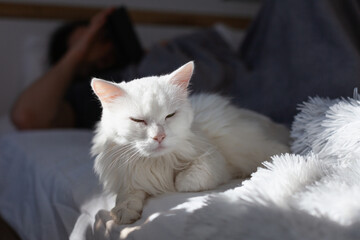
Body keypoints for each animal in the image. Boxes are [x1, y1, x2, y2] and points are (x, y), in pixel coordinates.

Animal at [90, 61, 290, 224]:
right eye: (138, 120)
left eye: (170, 115)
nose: (159, 137)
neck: (157, 163)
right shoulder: (129, 175)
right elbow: (128, 194)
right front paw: (122, 212)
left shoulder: (215, 160)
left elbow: (188, 180)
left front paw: (177, 182)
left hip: (251, 146)